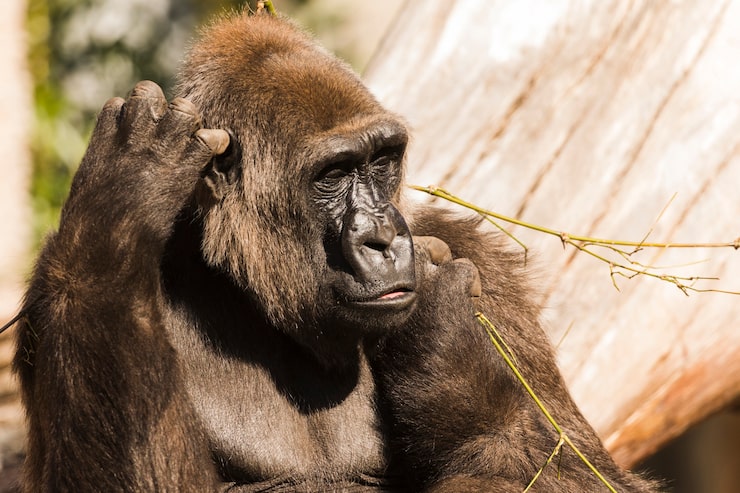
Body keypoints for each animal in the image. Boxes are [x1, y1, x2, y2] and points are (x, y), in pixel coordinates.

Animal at [14, 10, 659, 492]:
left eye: (382, 160)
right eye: (334, 174)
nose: (385, 238)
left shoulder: (480, 264)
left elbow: (579, 475)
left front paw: (456, 361)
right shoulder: (54, 291)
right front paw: (124, 197)